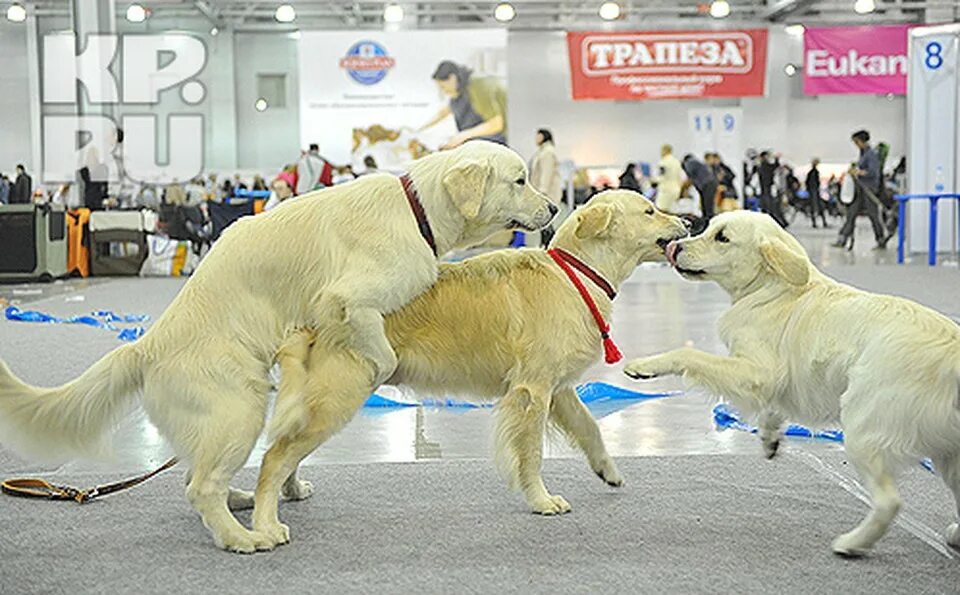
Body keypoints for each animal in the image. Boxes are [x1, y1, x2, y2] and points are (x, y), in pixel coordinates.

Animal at [0, 140, 556, 556]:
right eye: (520, 179)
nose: (553, 208)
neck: (416, 208)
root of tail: (147, 345)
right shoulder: (346, 299)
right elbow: (382, 353)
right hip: (240, 408)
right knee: (201, 487)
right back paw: (242, 538)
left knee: (196, 478)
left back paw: (242, 502)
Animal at [251, 191, 688, 544]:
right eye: (649, 210)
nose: (688, 222)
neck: (575, 274)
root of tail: (312, 314)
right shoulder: (532, 391)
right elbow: (531, 455)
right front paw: (541, 500)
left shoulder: (559, 388)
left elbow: (590, 428)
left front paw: (607, 470)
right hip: (338, 397)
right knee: (273, 457)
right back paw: (267, 524)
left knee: (285, 449)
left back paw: (292, 490)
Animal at [624, 213, 960, 560]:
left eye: (722, 238)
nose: (675, 247)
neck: (772, 288)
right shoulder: (773, 380)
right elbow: (771, 409)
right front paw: (770, 437)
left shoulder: (759, 371)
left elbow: (688, 353)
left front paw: (644, 365)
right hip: (948, 457)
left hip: (863, 431)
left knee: (888, 502)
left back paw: (852, 543)